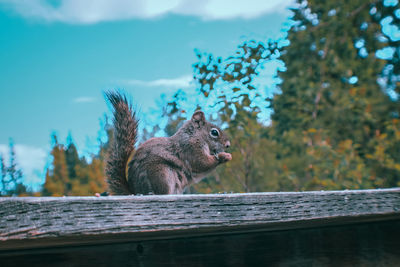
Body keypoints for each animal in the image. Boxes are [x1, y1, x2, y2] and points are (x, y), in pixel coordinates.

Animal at [104, 91, 233, 196]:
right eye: (214, 132)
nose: (228, 145)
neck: (195, 136)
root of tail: (136, 191)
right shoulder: (191, 149)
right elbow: (202, 163)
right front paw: (224, 156)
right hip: (161, 174)